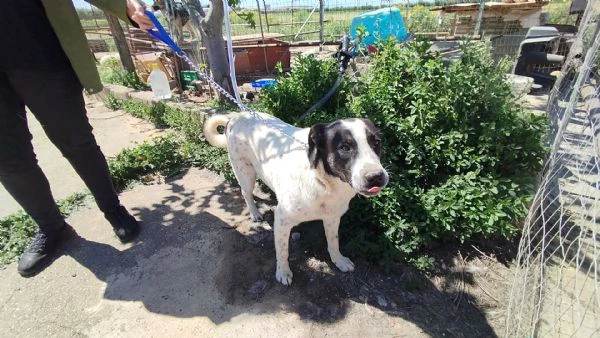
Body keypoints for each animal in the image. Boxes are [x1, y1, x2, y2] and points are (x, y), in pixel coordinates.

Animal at [204, 113, 390, 286]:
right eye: (345, 147)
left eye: (377, 142)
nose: (376, 177)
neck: (322, 182)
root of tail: (235, 116)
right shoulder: (281, 220)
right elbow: (282, 250)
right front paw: (283, 272)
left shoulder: (332, 217)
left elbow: (333, 242)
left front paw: (339, 260)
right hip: (245, 172)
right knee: (246, 193)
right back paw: (255, 213)